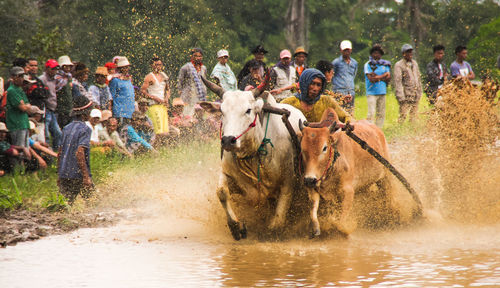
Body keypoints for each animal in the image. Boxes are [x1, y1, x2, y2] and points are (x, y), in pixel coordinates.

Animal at [201, 80, 306, 240]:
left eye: (248, 110)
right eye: (222, 112)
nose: (228, 140)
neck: (252, 154)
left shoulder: (288, 182)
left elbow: (278, 220)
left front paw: (271, 231)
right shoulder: (227, 172)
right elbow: (222, 192)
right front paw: (236, 227)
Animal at [298, 107, 400, 237]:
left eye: (324, 148)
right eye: (302, 149)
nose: (310, 179)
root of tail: (378, 131)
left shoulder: (348, 191)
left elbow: (341, 221)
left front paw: (342, 231)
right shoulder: (313, 188)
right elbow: (313, 211)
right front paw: (316, 229)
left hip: (386, 177)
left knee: (389, 197)